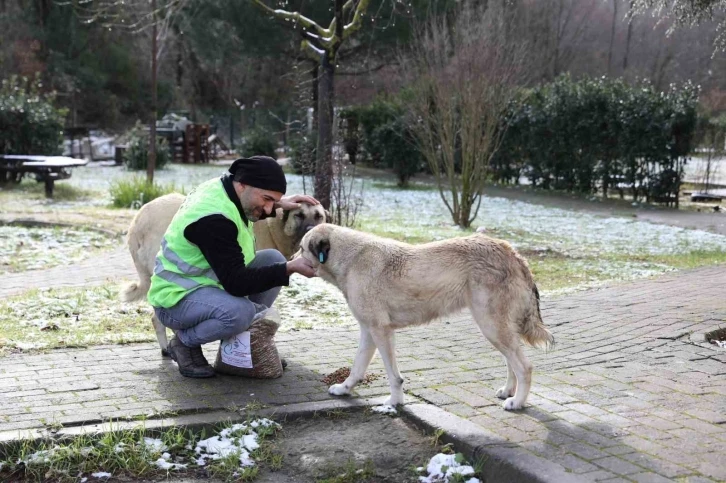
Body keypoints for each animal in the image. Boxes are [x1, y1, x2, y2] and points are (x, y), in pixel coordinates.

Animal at [123, 192, 330, 356]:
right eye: (299, 215)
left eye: (318, 216)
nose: (311, 230)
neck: (275, 228)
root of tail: (137, 222)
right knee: (158, 317)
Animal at [298, 225, 556, 410]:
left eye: (301, 249)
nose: (291, 257)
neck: (350, 259)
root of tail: (513, 253)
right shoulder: (368, 332)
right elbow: (357, 367)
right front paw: (344, 389)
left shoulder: (381, 331)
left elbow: (393, 376)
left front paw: (394, 403)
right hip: (497, 329)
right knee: (512, 362)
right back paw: (508, 391)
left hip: (491, 327)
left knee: (525, 367)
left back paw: (517, 403)